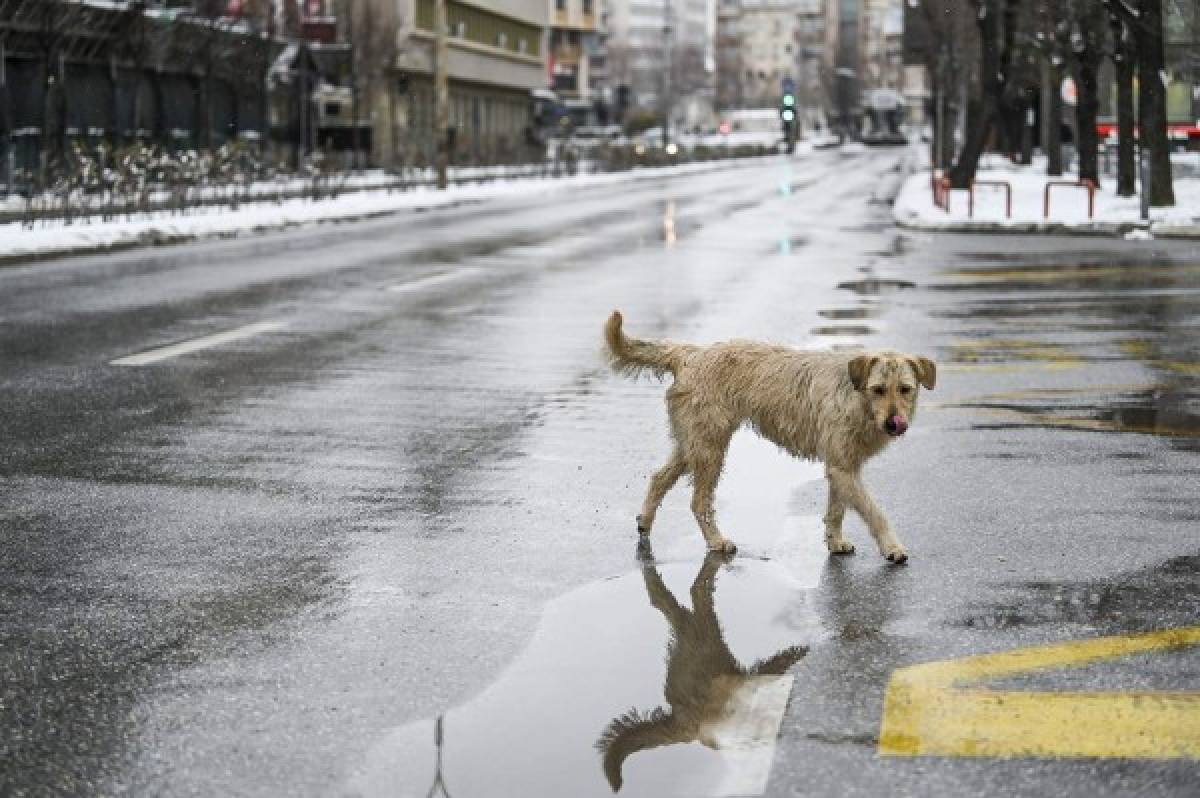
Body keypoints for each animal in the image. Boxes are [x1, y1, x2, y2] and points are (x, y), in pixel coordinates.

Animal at [604, 307, 931, 564]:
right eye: (878, 389)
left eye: (905, 389)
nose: (895, 423)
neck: (855, 395)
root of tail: (692, 353)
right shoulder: (843, 467)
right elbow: (874, 511)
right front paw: (892, 547)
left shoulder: (843, 466)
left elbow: (837, 509)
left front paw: (835, 541)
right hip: (710, 450)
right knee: (699, 503)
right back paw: (716, 541)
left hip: (694, 444)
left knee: (660, 477)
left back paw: (645, 523)